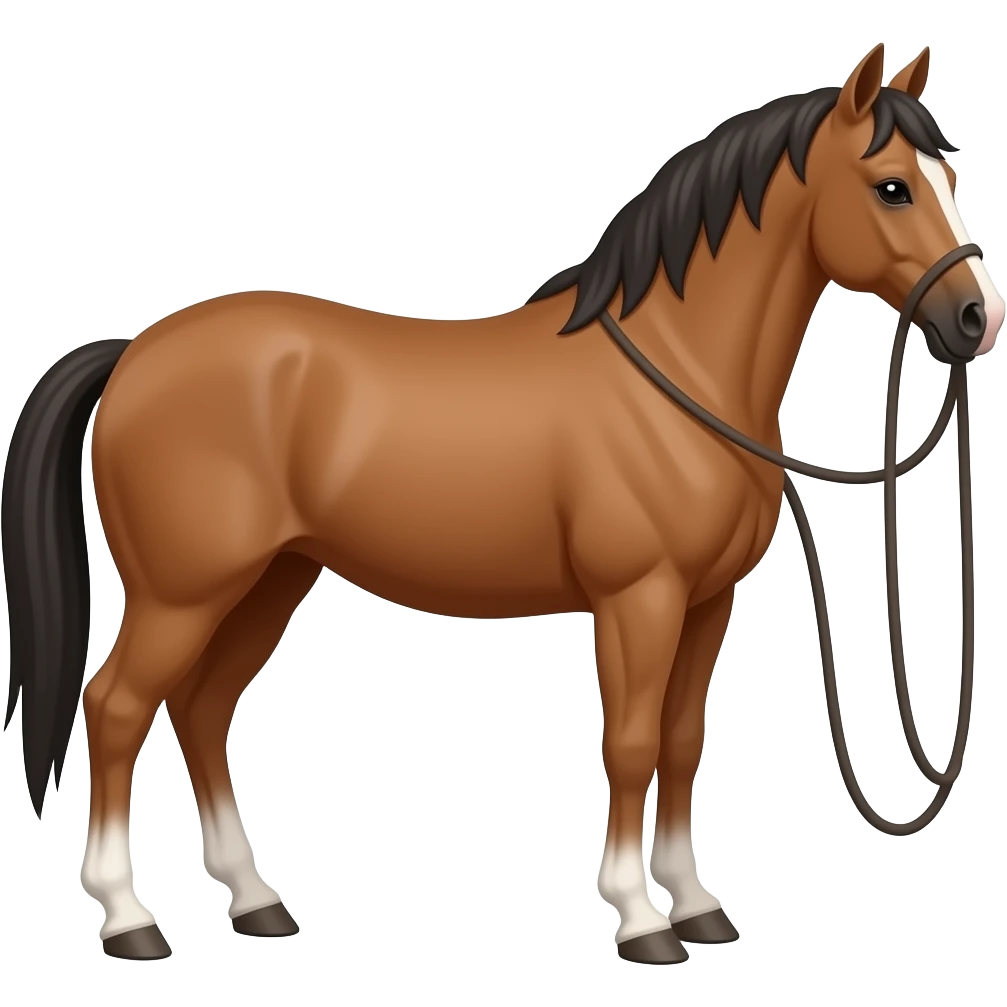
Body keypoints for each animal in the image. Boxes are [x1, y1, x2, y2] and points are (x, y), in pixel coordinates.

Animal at [1, 42, 1001, 965]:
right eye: (891, 188)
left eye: (948, 176)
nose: (974, 320)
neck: (675, 371)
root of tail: (134, 351)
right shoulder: (638, 599)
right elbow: (630, 743)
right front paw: (640, 919)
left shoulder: (706, 602)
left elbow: (682, 740)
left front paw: (696, 903)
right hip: (184, 591)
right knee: (117, 707)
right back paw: (129, 918)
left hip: (270, 579)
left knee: (202, 709)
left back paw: (255, 902)